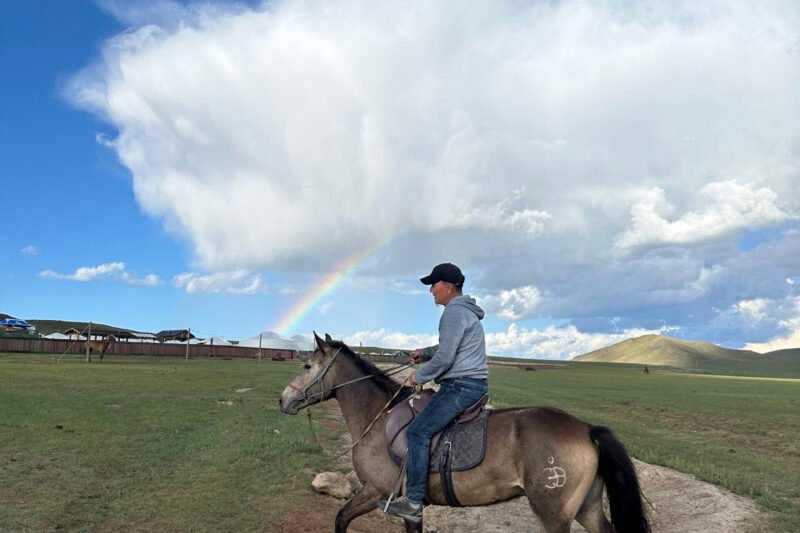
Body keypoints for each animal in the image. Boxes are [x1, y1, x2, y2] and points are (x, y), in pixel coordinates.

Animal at [279, 333, 650, 533]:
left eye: (307, 365)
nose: (283, 399)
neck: (379, 416)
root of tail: (587, 430)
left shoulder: (378, 492)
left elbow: (341, 518)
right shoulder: (406, 506)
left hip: (554, 516)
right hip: (587, 508)